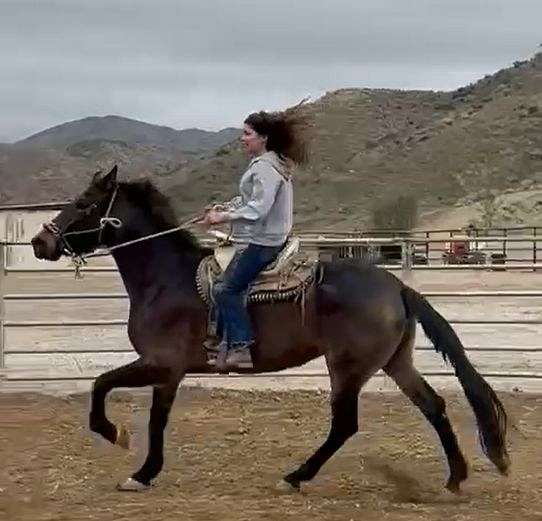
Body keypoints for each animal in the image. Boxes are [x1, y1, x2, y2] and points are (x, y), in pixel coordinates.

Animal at [29, 166, 512, 492]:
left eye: (85, 203)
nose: (39, 242)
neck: (165, 278)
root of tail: (395, 285)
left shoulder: (161, 364)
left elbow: (104, 388)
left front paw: (123, 444)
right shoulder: (169, 373)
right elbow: (152, 416)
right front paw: (145, 471)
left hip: (348, 368)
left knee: (345, 425)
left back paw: (296, 476)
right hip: (395, 362)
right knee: (433, 405)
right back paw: (456, 477)